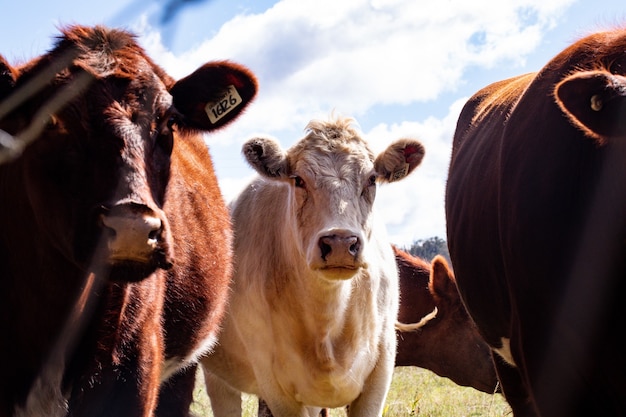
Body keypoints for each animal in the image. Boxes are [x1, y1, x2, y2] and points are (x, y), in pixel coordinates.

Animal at [200, 115, 424, 414]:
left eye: (371, 179)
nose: (340, 242)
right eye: (298, 180)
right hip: (219, 377)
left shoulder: (380, 370)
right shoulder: (276, 385)